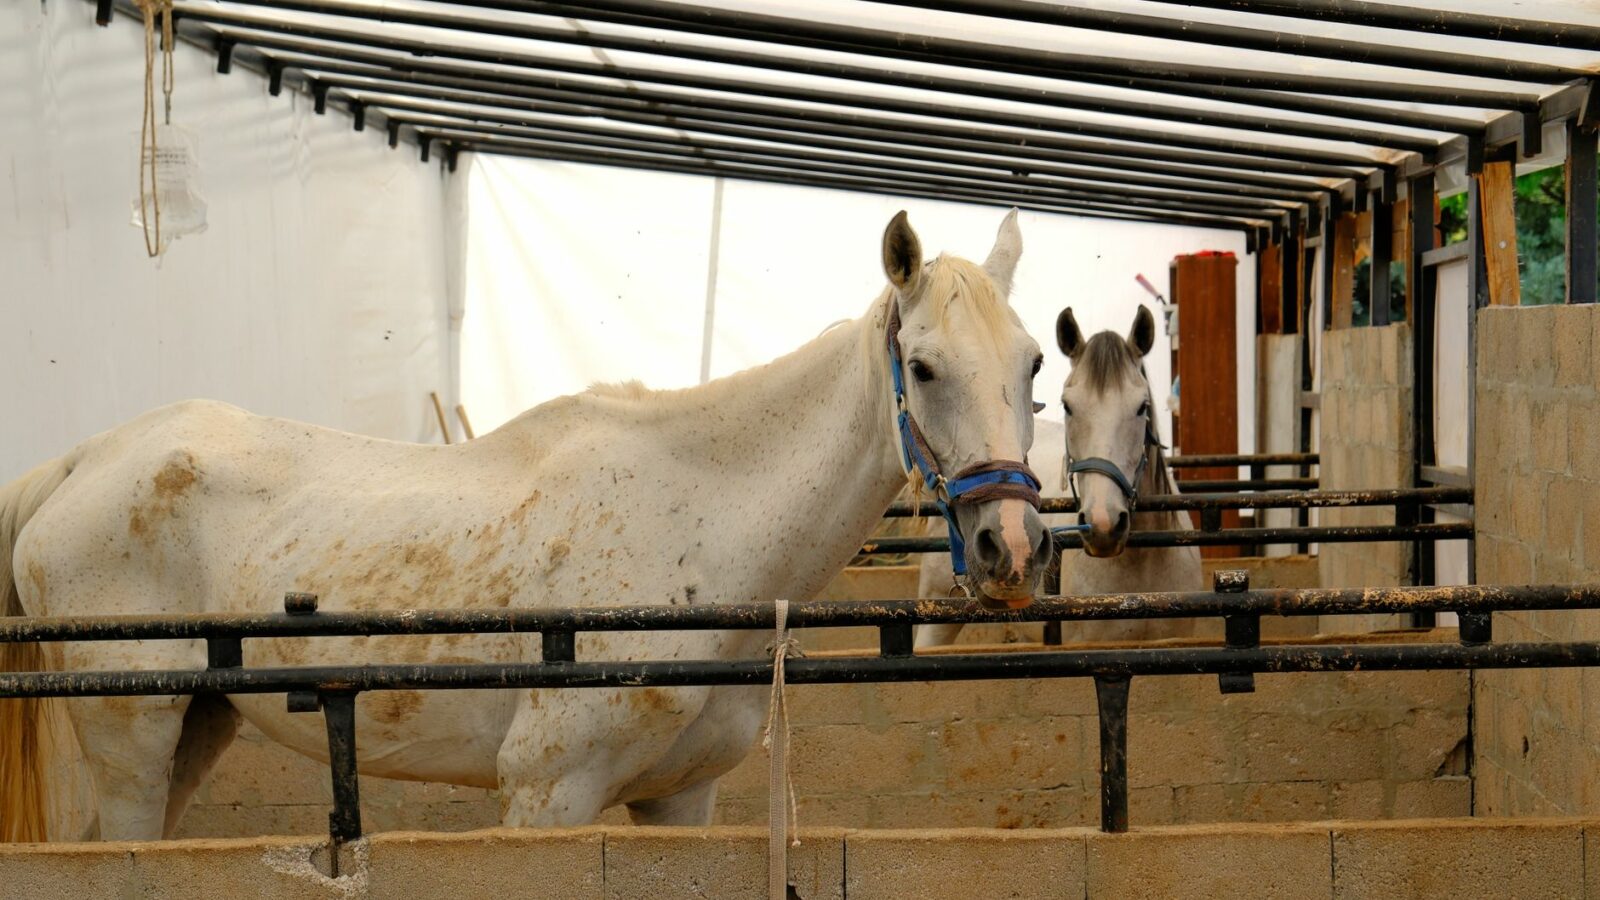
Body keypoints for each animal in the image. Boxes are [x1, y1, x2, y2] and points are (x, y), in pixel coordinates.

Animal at [0, 210, 1053, 842]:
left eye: (1036, 363)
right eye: (922, 366)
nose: (1010, 546)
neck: (698, 527)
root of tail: (81, 460)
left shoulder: (682, 800)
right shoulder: (548, 797)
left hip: (195, 726)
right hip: (132, 742)